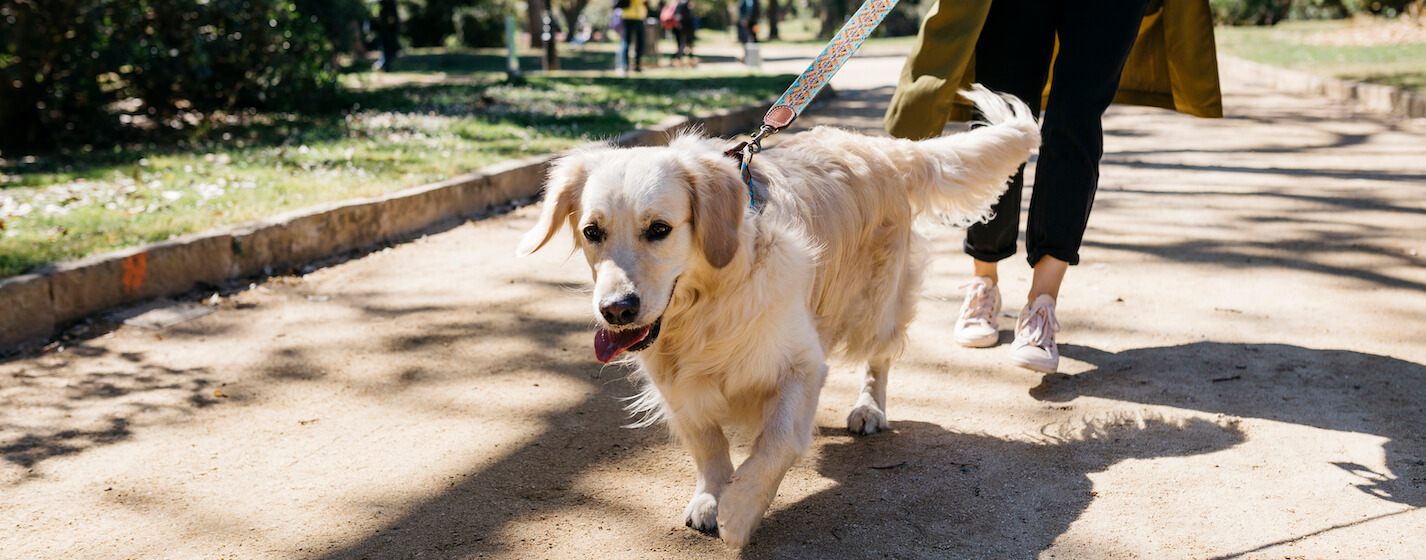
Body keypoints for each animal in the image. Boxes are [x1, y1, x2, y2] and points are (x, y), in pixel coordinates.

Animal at [513, 85, 1038, 544]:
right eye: (591, 231)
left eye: (659, 229)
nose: (616, 311)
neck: (708, 303)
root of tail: (884, 148)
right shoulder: (676, 382)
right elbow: (707, 444)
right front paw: (710, 497)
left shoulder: (801, 366)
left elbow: (777, 441)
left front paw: (741, 510)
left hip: (875, 305)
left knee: (880, 358)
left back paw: (869, 409)